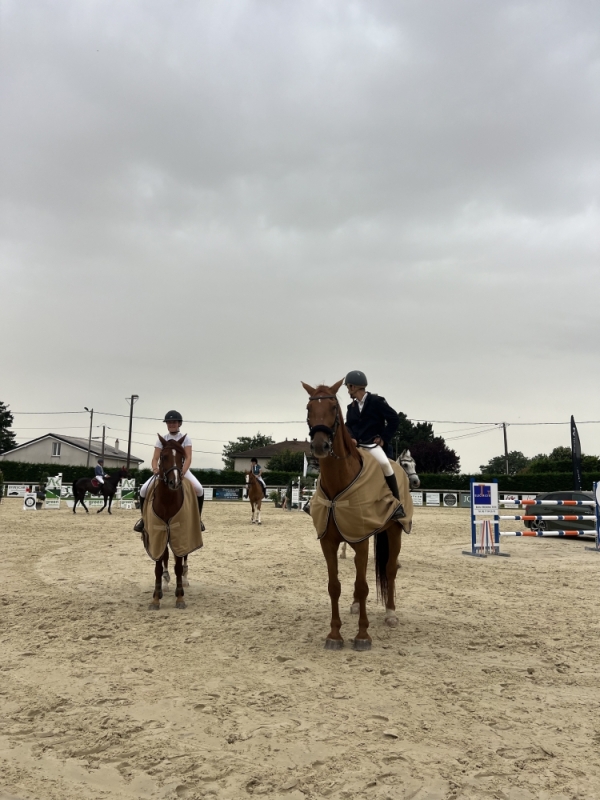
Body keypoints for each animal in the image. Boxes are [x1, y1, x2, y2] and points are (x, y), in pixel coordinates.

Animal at [302, 380, 410, 648]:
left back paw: (391, 614)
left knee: (390, 569)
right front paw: (334, 634)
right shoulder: (330, 542)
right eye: (309, 408)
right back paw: (354, 606)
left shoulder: (361, 541)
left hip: (394, 531)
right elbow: (334, 586)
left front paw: (362, 635)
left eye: (333, 407)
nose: (320, 446)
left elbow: (363, 586)